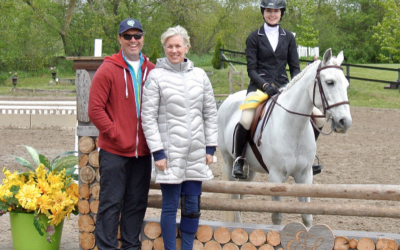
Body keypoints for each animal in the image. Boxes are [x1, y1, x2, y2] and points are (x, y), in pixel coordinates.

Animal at [217, 48, 352, 227]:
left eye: (346, 84)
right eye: (330, 82)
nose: (345, 122)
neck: (294, 127)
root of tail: (229, 99)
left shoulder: (305, 175)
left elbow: (307, 216)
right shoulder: (276, 176)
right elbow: (277, 216)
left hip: (250, 170)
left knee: (241, 195)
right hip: (229, 162)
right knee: (234, 197)